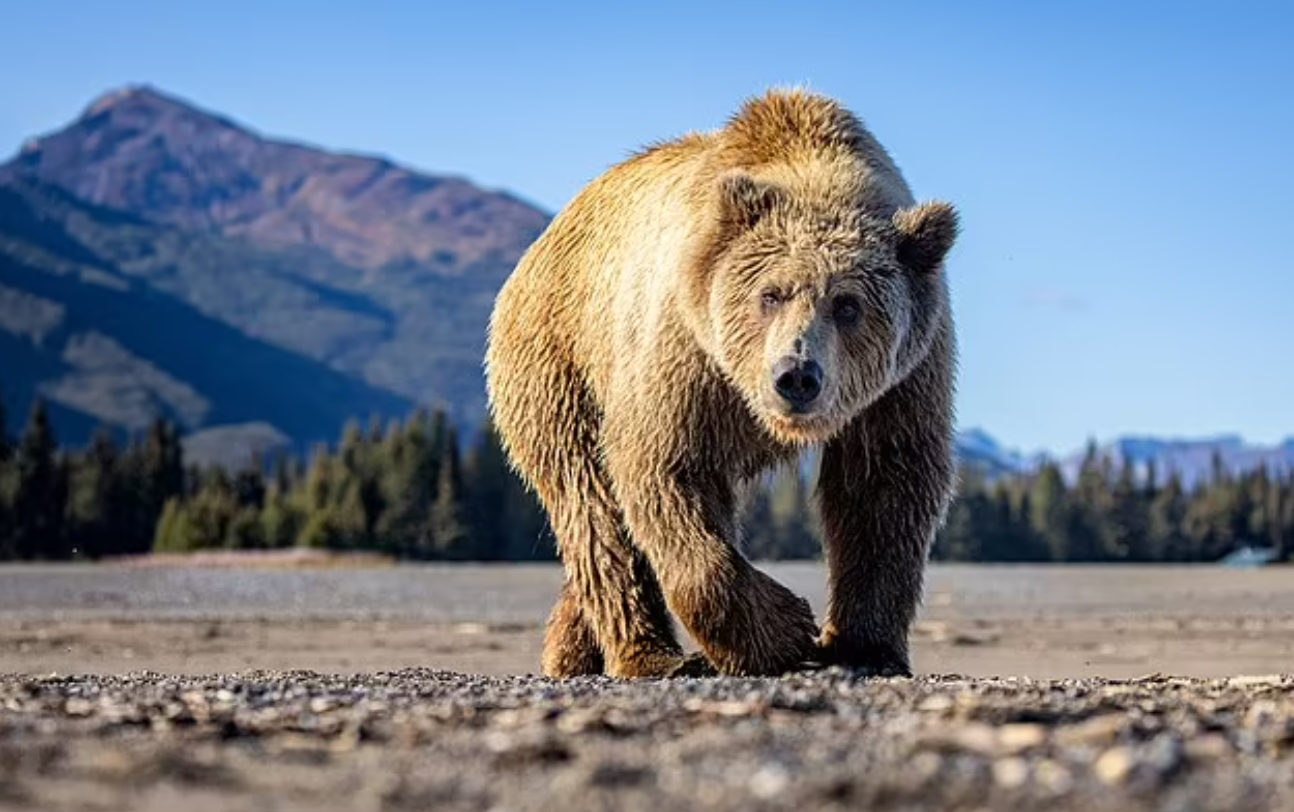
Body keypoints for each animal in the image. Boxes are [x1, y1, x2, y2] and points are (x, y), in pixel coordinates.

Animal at [486, 88, 962, 677]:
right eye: (771, 294)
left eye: (847, 304)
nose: (796, 375)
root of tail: (546, 237)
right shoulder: (686, 351)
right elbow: (665, 469)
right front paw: (784, 629)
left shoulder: (905, 376)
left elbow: (884, 486)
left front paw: (863, 647)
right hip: (560, 361)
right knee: (592, 505)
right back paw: (649, 655)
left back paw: (570, 644)